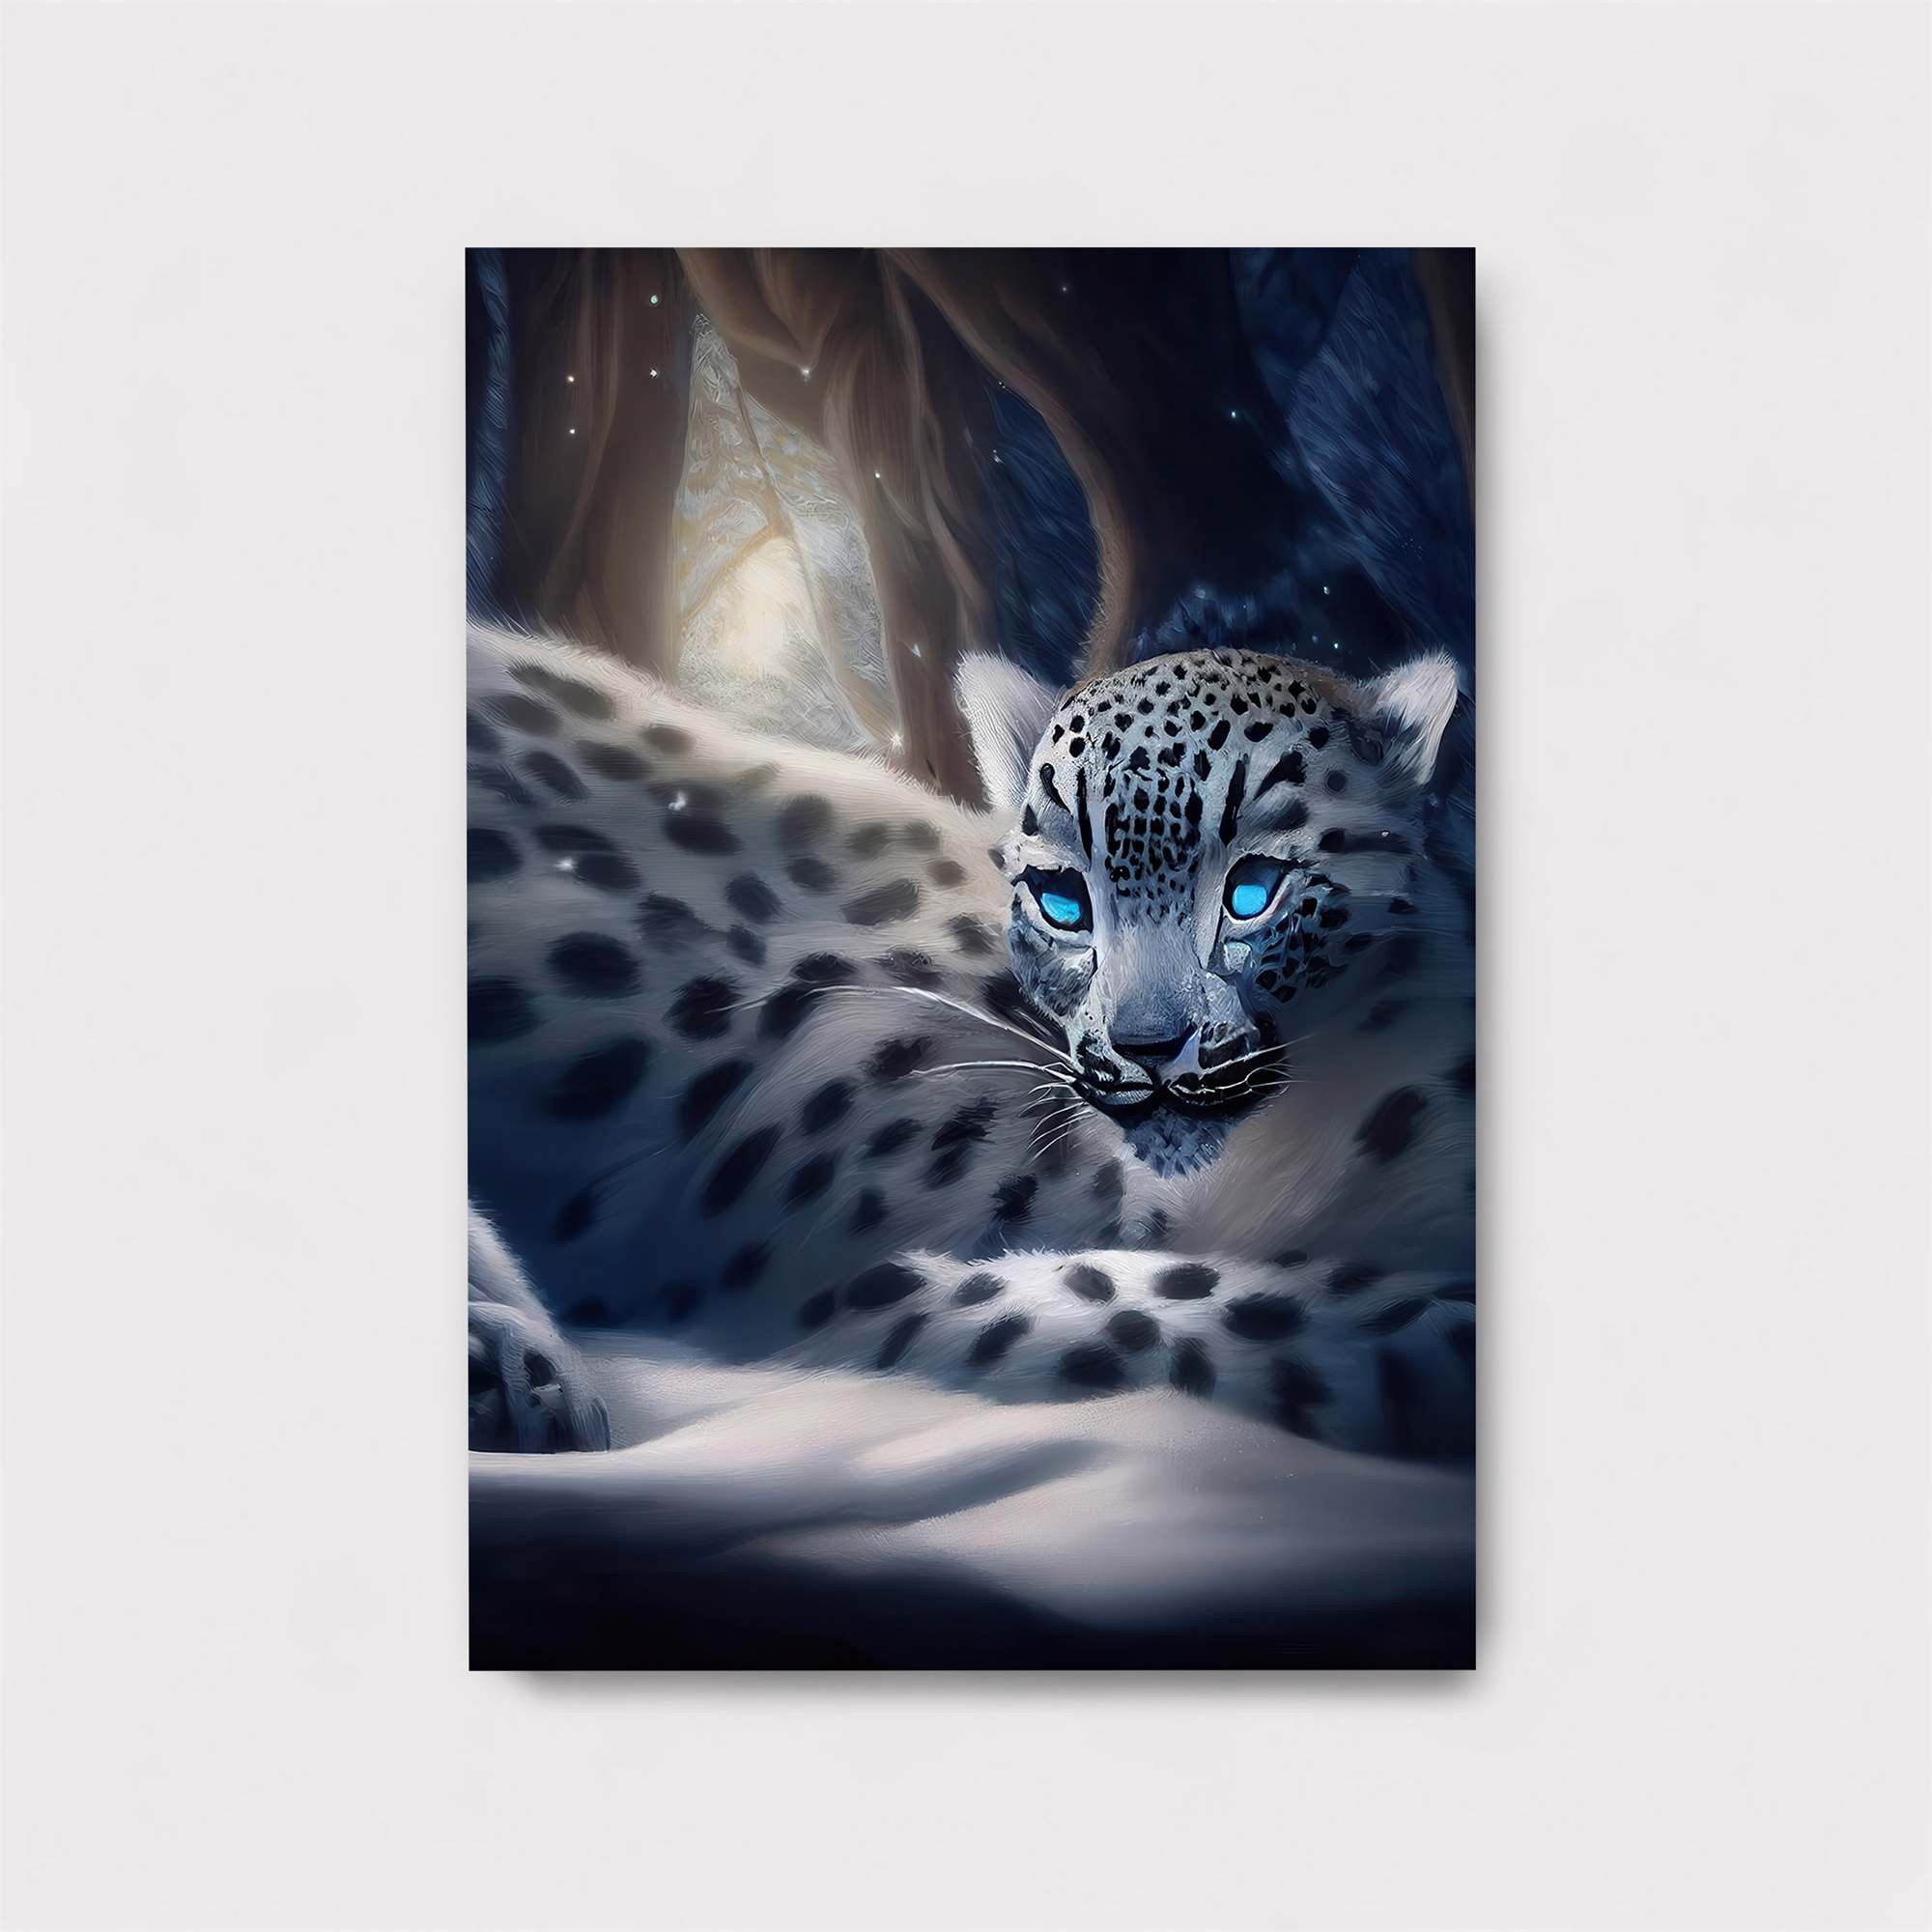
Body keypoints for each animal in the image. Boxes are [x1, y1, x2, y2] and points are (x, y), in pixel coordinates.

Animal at [467, 620, 1475, 1459]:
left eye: (1254, 890)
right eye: (1065, 899)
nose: (1149, 1047)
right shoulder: (812, 1268)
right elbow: (1148, 1299)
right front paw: (1430, 1345)